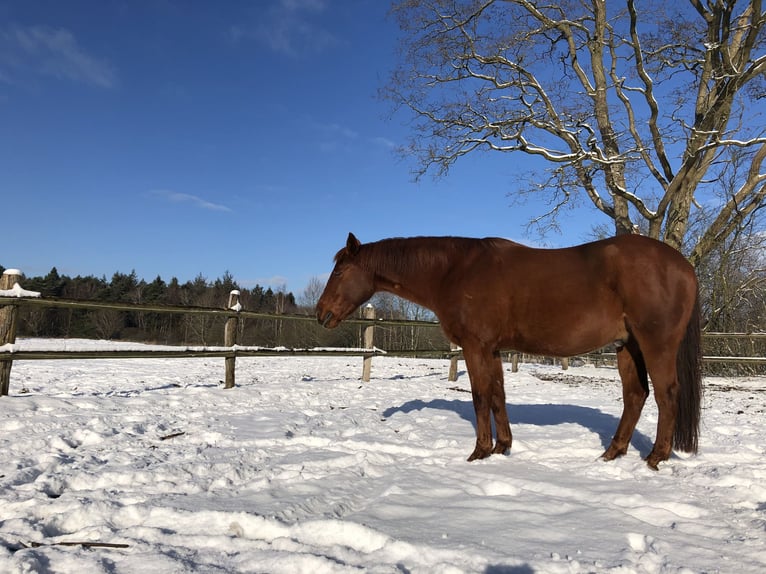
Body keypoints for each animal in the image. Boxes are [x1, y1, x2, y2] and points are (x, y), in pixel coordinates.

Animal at [316, 234, 704, 472]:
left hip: (656, 344)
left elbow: (479, 396)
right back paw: (612, 453)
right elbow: (498, 396)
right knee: (635, 395)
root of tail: (684, 266)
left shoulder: (475, 347)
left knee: (667, 395)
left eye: (340, 270)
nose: (321, 313)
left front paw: (479, 452)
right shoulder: (494, 350)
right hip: (628, 346)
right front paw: (502, 447)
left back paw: (655, 458)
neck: (454, 271)